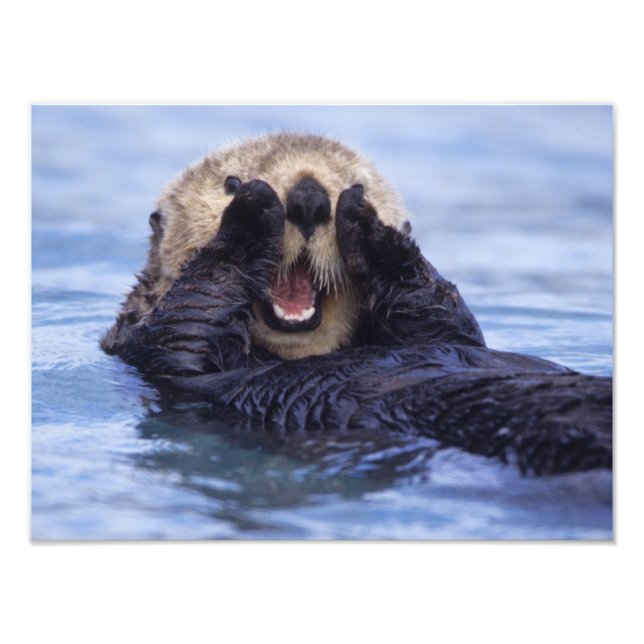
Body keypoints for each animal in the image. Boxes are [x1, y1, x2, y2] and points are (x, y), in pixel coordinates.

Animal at [102, 133, 612, 475]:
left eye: (358, 183)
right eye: (229, 181)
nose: (308, 196)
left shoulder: (447, 331)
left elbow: (445, 317)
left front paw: (370, 228)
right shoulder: (149, 346)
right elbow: (190, 315)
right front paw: (251, 213)